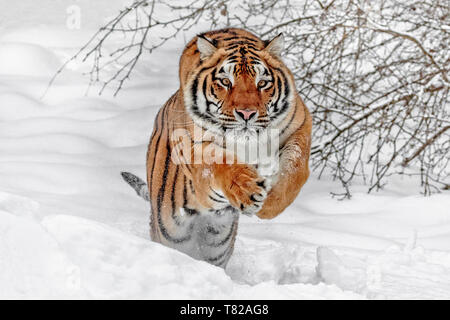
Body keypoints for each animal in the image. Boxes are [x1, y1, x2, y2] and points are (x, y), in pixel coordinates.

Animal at [121, 26, 312, 268]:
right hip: (170, 232)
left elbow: (295, 169)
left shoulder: (300, 125)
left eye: (262, 83)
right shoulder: (193, 148)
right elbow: (220, 162)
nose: (247, 113)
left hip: (217, 242)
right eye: (225, 82)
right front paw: (247, 190)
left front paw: (269, 204)